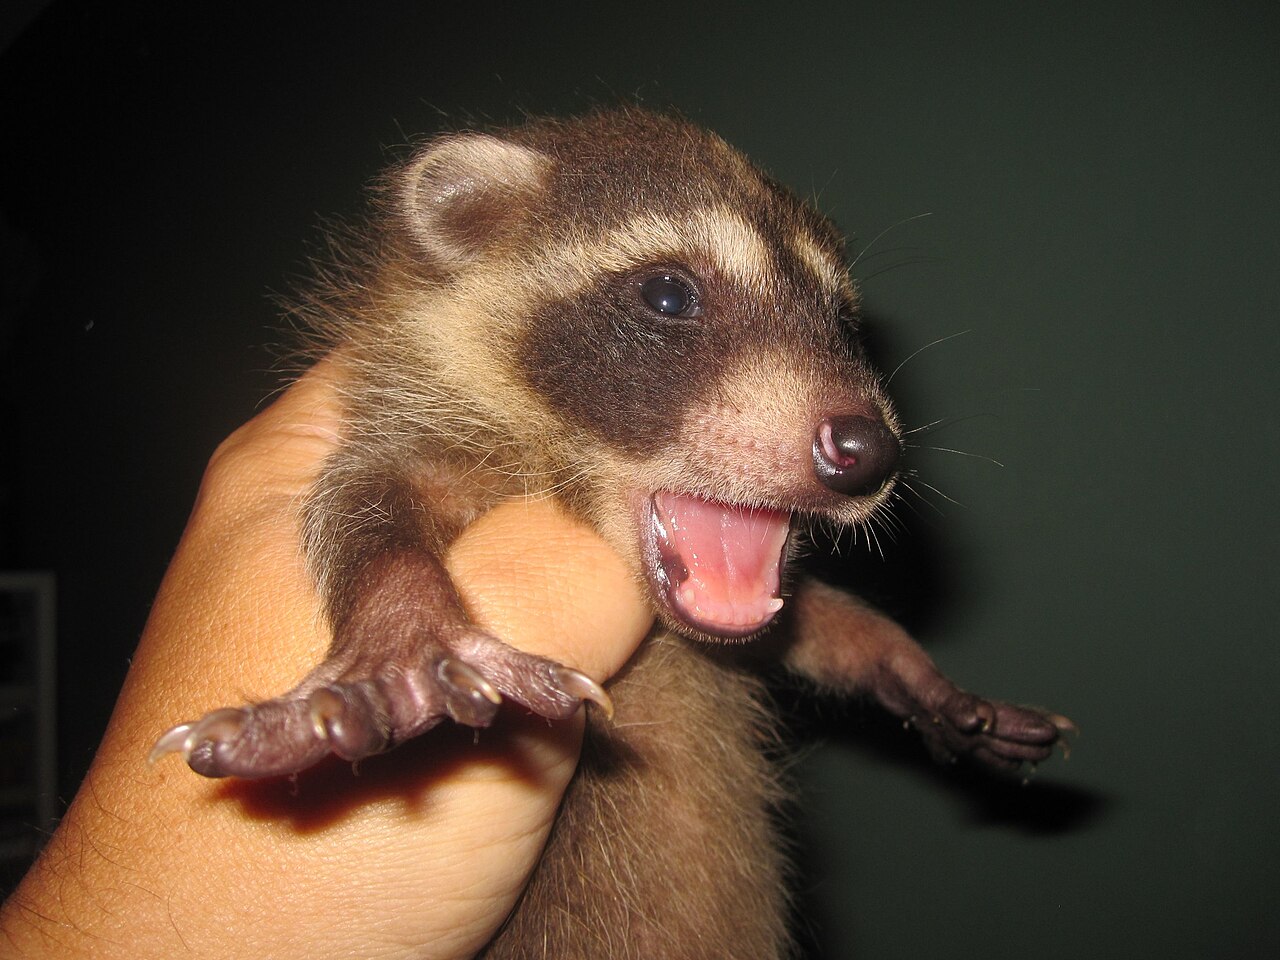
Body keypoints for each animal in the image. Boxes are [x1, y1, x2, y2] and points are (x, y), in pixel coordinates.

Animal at [151, 109, 1071, 958]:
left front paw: (900, 662)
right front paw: (401, 626)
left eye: (844, 323)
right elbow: (361, 503)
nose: (867, 451)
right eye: (668, 294)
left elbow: (805, 619)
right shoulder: (404, 424)